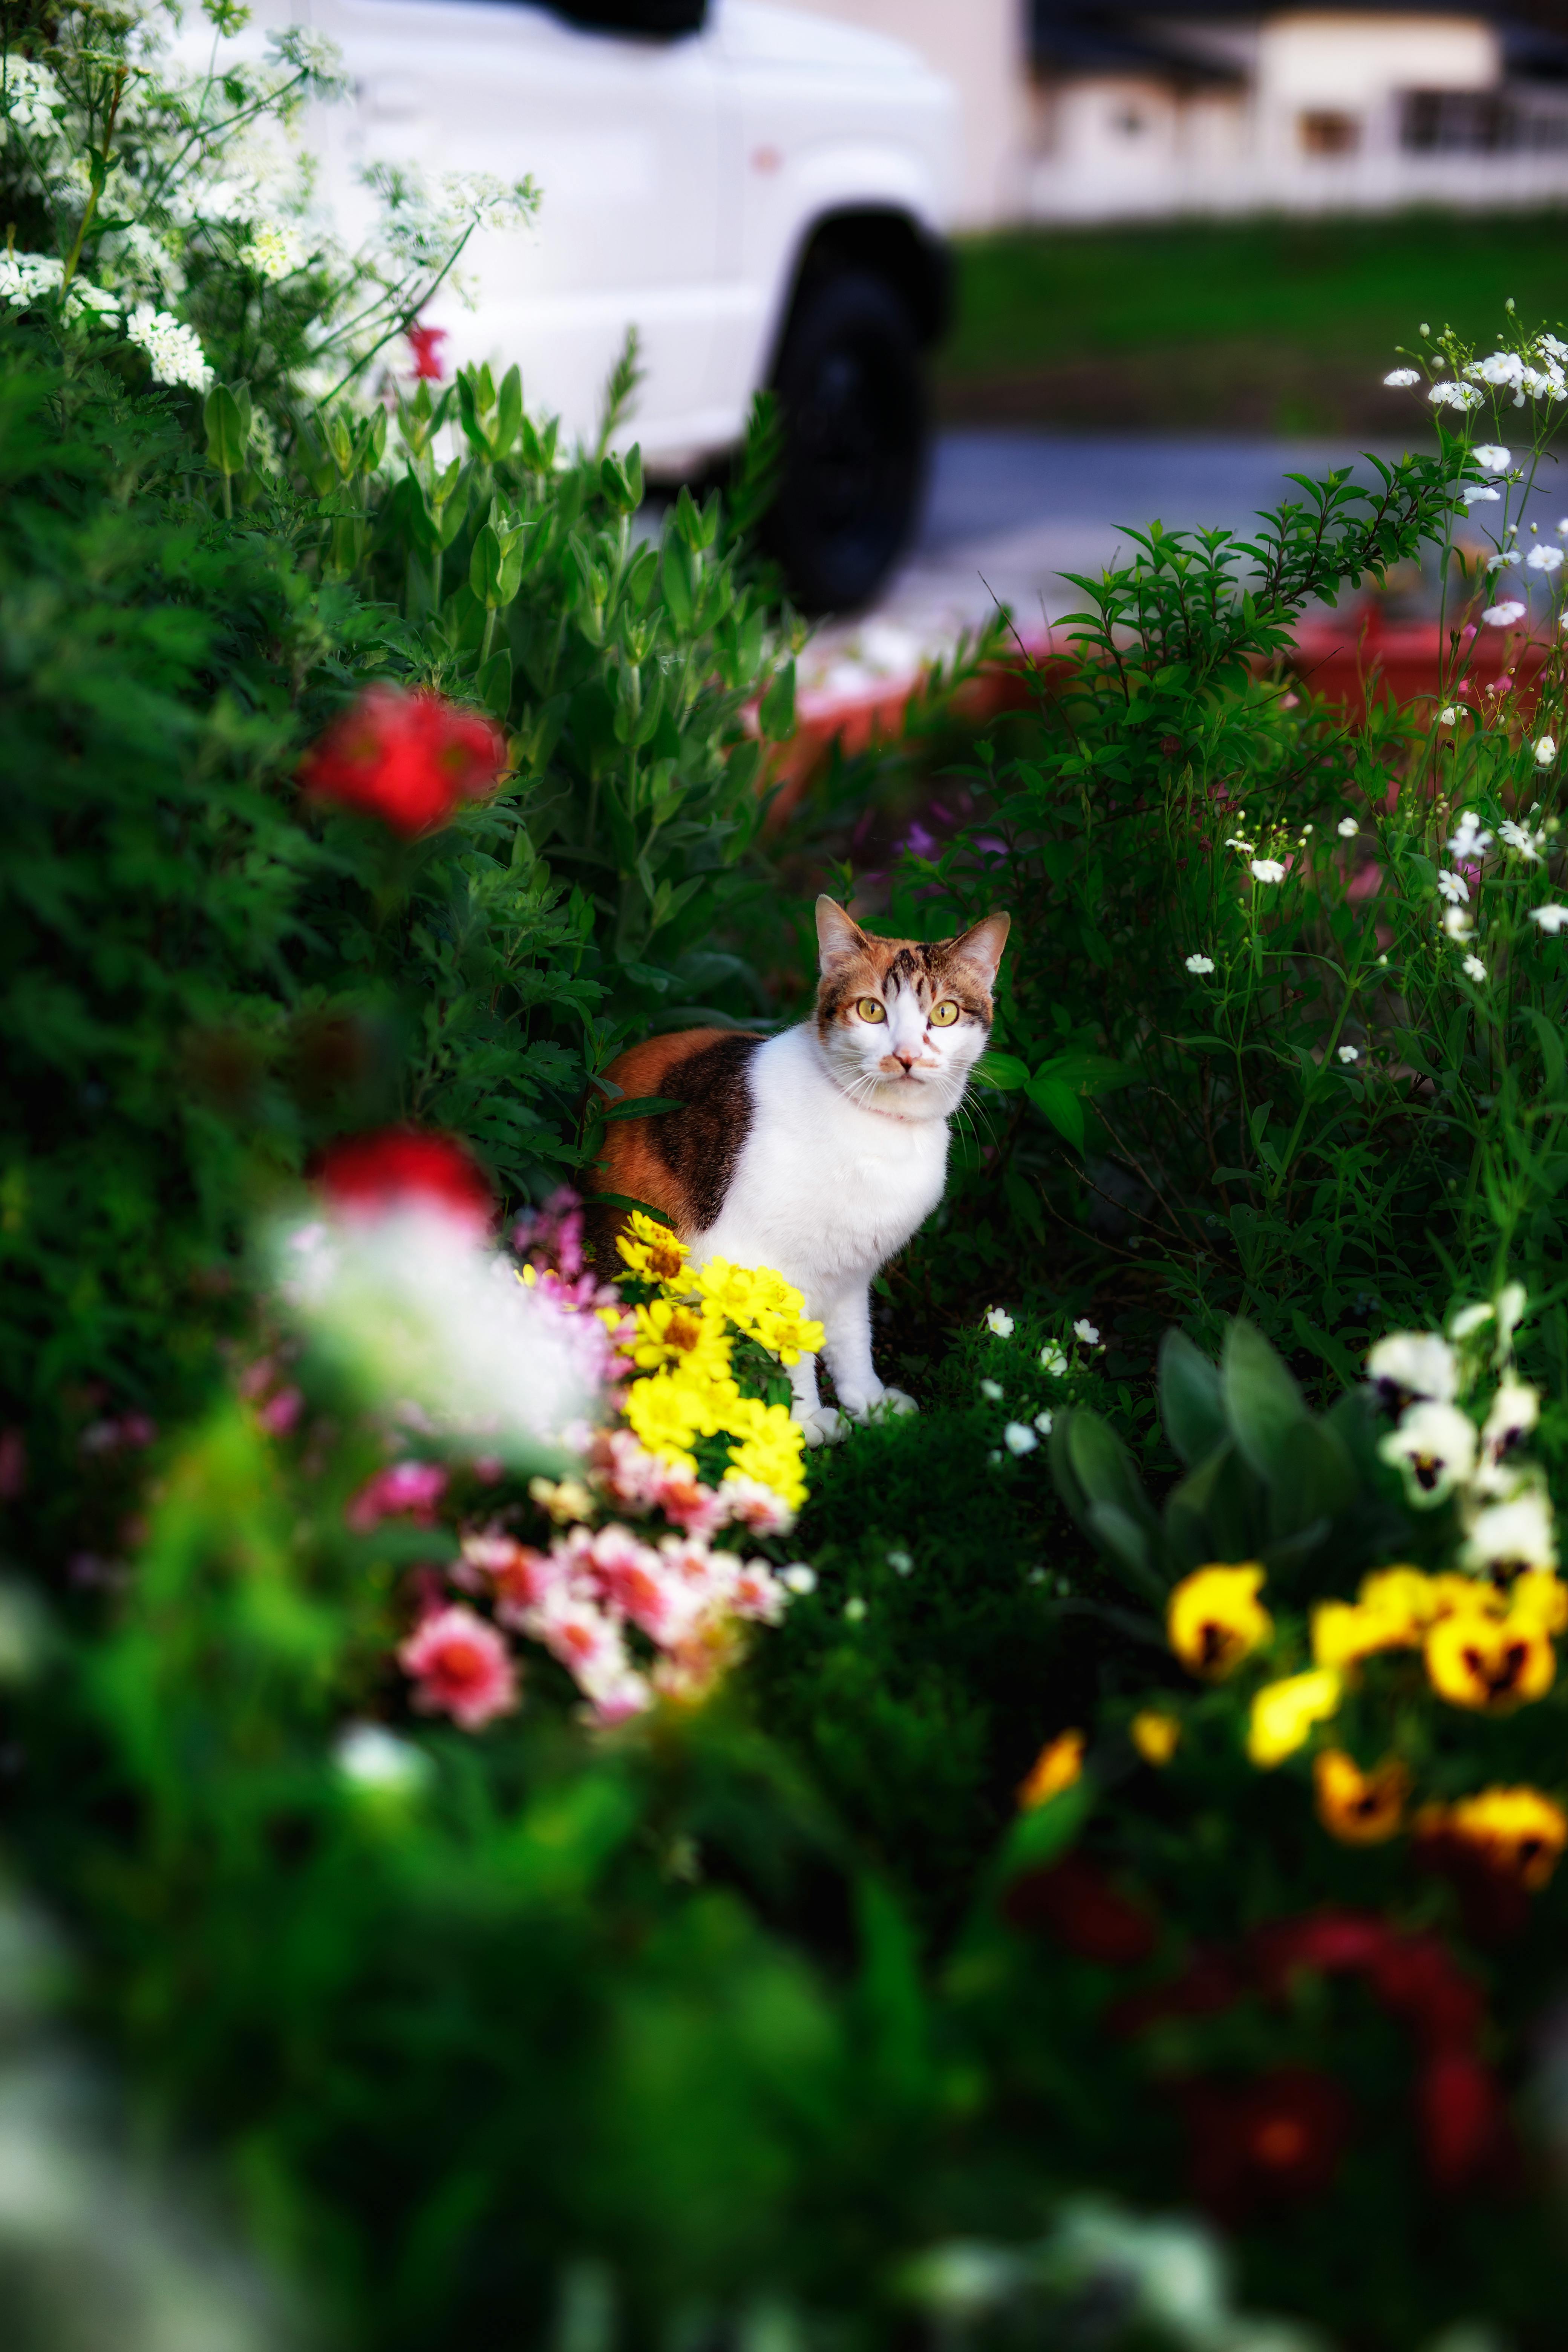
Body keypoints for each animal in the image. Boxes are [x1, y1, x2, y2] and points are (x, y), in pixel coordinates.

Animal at [594, 894, 1011, 1439]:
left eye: (943, 1013)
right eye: (871, 1010)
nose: (905, 1056)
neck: (879, 1131)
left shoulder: (853, 1271)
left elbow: (852, 1339)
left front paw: (869, 1403)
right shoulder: (756, 1262)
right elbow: (785, 1346)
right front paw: (795, 1424)